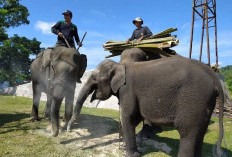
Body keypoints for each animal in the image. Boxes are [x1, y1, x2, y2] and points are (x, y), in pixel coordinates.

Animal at [66, 56, 225, 157]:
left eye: (94, 78)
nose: (67, 130)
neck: (120, 65)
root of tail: (215, 78)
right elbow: (135, 117)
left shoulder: (128, 90)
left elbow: (128, 117)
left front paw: (131, 154)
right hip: (205, 104)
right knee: (199, 133)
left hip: (194, 100)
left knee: (188, 133)